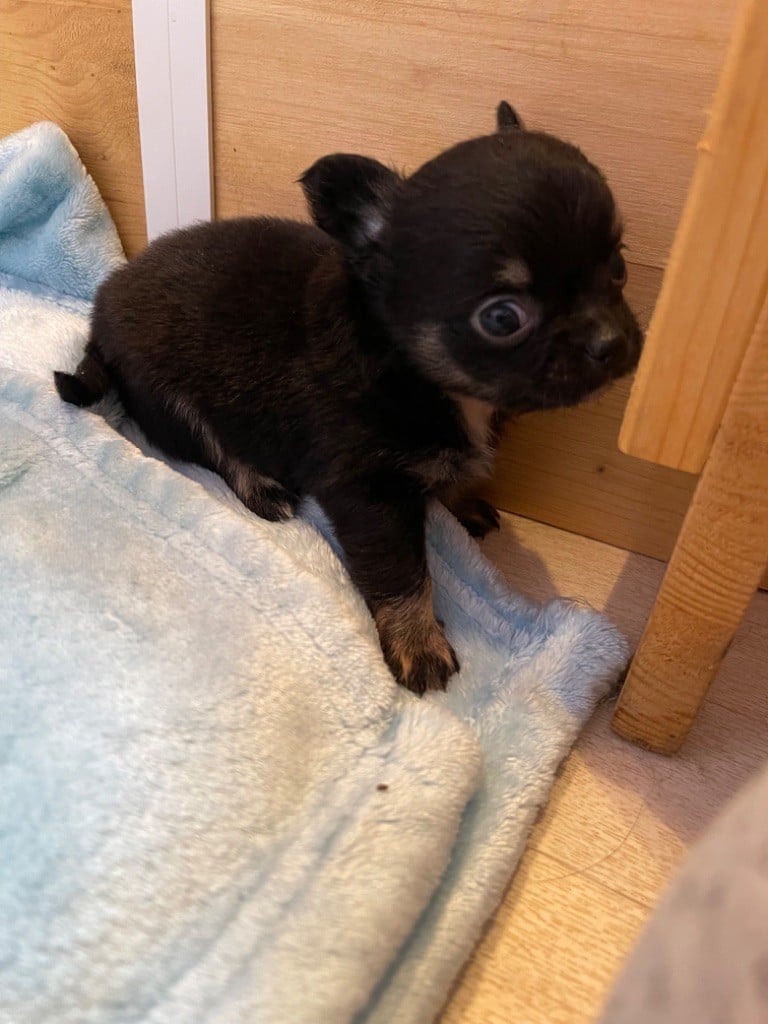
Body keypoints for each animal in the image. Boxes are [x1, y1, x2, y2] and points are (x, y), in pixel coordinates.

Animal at [54, 102, 642, 695]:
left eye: (618, 268)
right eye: (502, 318)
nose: (612, 343)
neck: (419, 373)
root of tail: (100, 312)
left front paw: (459, 501)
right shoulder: (368, 493)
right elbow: (402, 573)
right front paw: (418, 645)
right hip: (170, 401)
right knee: (214, 448)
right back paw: (260, 486)